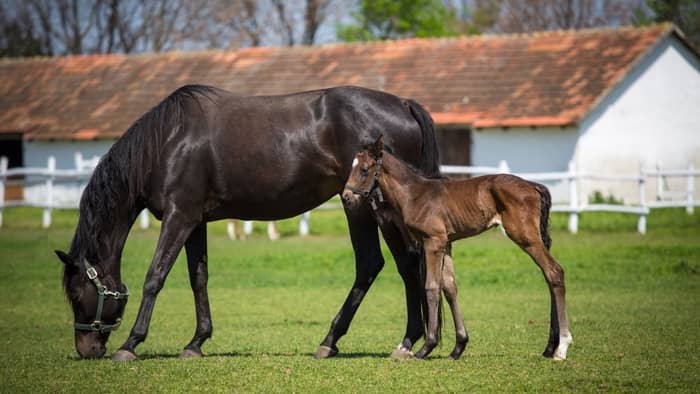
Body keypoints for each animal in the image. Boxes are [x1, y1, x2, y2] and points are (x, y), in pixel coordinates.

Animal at [56, 85, 438, 360]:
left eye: (75, 293)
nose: (87, 350)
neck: (167, 142)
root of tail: (403, 104)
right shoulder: (195, 221)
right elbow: (198, 279)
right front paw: (196, 343)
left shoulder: (180, 216)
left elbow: (155, 276)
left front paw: (130, 344)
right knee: (405, 264)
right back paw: (402, 341)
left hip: (368, 208)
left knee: (379, 264)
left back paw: (345, 340)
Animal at [342, 136, 572, 360]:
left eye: (364, 170)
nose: (346, 197)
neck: (415, 194)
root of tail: (533, 186)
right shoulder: (446, 244)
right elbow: (450, 287)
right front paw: (458, 347)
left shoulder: (432, 242)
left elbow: (432, 287)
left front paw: (427, 347)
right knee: (549, 275)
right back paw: (550, 347)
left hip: (526, 237)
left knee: (554, 271)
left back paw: (561, 348)